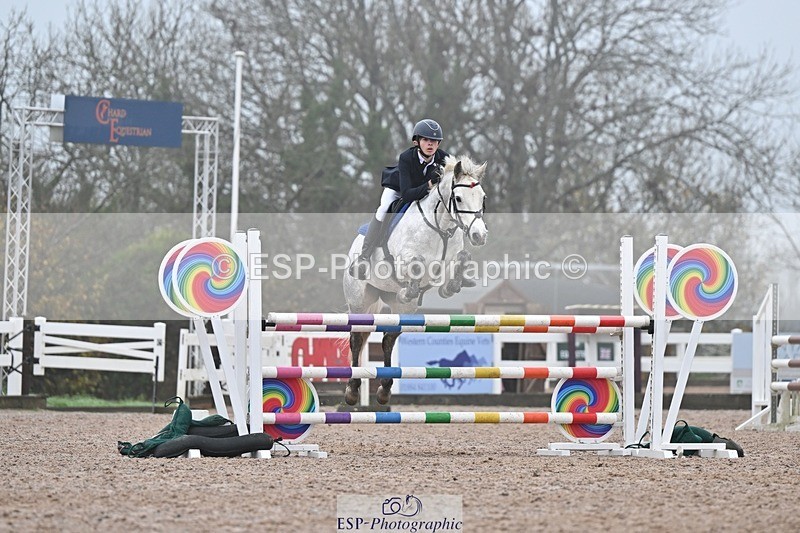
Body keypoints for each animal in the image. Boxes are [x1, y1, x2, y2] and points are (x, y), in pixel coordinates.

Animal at [343, 155, 489, 405]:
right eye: (458, 197)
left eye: (482, 197)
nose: (479, 235)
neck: (440, 229)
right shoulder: (404, 260)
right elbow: (415, 263)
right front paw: (409, 288)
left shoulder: (443, 266)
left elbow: (460, 260)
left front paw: (453, 286)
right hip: (359, 301)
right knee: (357, 338)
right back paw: (352, 390)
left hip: (401, 309)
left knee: (388, 339)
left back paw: (385, 389)